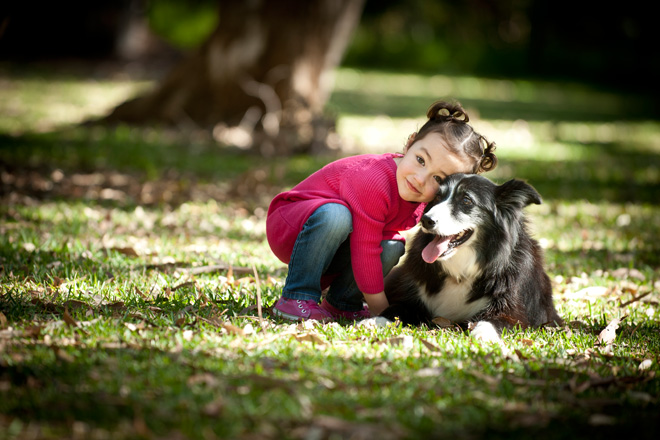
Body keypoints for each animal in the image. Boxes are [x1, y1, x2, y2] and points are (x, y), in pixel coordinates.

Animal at [376, 174, 564, 342]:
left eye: (466, 200)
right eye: (437, 197)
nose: (426, 220)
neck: (461, 273)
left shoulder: (515, 311)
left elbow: (496, 321)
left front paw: (483, 334)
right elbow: (396, 309)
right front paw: (375, 320)